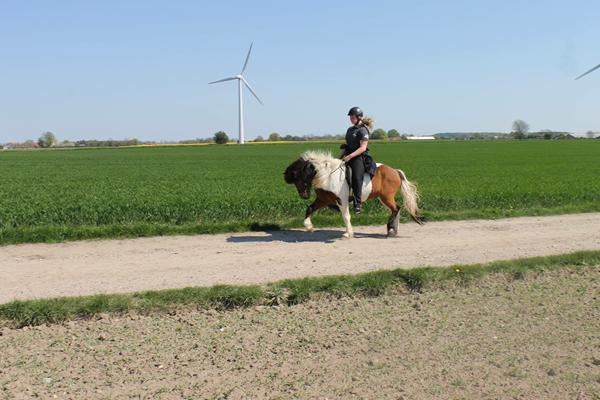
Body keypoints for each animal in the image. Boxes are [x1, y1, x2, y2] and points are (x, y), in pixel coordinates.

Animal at [284, 150, 422, 238]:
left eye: (297, 178)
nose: (304, 195)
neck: (327, 175)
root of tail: (395, 171)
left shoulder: (342, 200)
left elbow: (346, 216)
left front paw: (348, 233)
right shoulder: (323, 199)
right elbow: (310, 208)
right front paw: (308, 226)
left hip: (386, 197)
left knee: (396, 208)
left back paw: (391, 228)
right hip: (383, 198)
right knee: (396, 209)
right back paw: (393, 230)